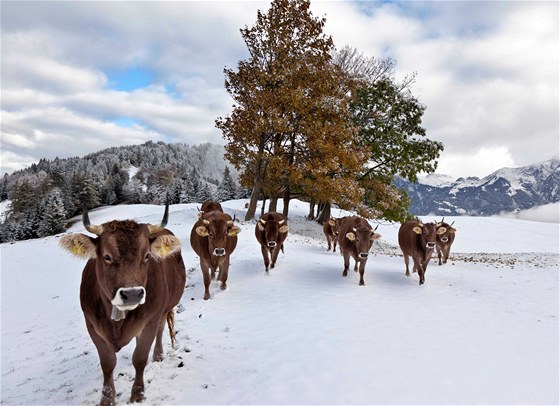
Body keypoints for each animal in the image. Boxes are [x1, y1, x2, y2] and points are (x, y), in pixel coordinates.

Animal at [59, 205, 186, 404]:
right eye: (106, 256)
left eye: (147, 255)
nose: (132, 294)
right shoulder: (92, 326)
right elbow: (107, 363)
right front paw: (107, 398)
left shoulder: (149, 322)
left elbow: (140, 359)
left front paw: (137, 394)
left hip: (164, 309)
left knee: (160, 329)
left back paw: (158, 355)